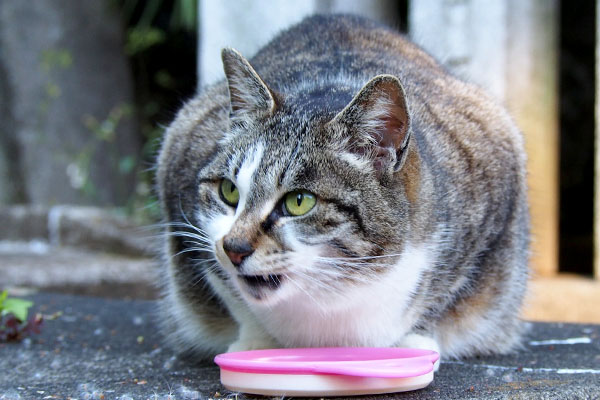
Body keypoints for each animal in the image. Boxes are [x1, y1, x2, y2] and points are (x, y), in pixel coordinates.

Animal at [156, 14, 528, 362]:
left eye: (299, 201)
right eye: (229, 191)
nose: (232, 247)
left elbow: (446, 293)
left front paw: (414, 341)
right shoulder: (180, 157)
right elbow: (228, 291)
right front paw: (254, 342)